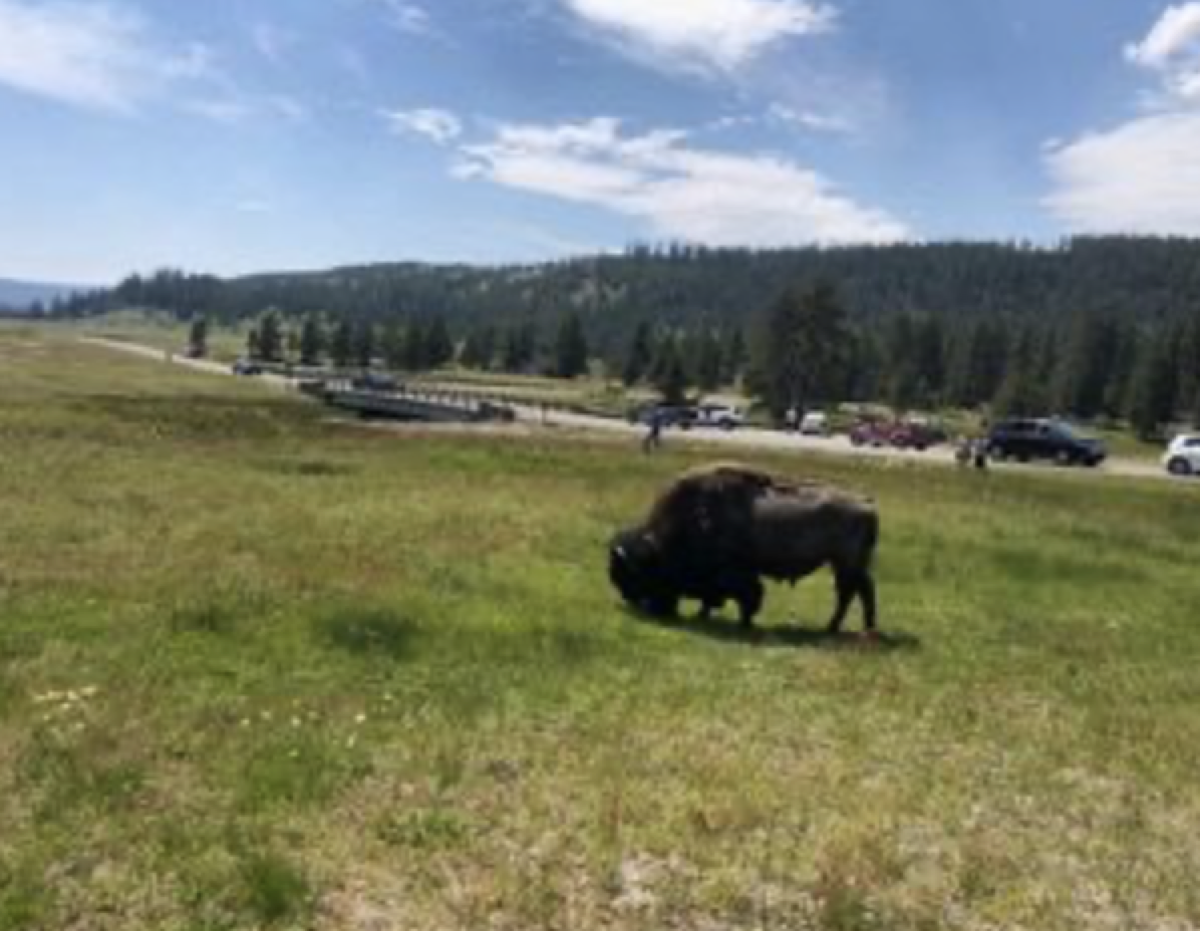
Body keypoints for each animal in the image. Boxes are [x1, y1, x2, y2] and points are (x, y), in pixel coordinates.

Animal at [609, 464, 879, 632]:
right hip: (848, 565)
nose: (633, 602)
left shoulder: (735, 574)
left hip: (846, 564)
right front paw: (705, 615)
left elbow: (747, 596)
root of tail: (866, 503)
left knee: (850, 594)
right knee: (859, 592)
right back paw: (861, 628)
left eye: (632, 575)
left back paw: (835, 628)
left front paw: (743, 623)